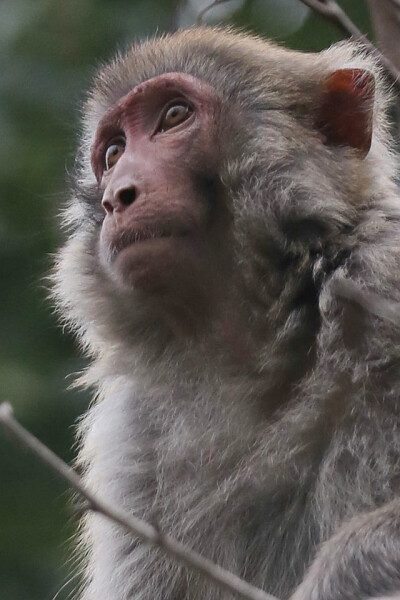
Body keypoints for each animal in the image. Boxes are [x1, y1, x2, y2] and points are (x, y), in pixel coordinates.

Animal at [54, 27, 400, 600]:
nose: (115, 197)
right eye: (114, 151)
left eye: (174, 116)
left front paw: (341, 572)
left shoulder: (383, 275)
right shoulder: (134, 437)